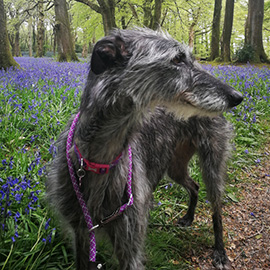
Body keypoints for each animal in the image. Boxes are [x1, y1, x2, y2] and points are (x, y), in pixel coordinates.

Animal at [46, 28, 243, 270]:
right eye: (177, 59)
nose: (237, 97)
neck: (98, 161)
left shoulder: (129, 246)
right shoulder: (82, 235)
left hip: (212, 162)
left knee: (216, 206)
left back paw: (220, 251)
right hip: (175, 165)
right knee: (194, 185)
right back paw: (188, 217)